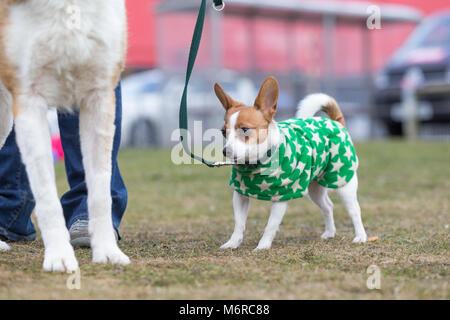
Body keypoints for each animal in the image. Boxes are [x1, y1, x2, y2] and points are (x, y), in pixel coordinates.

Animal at [0, 0, 130, 272]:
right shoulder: (29, 98)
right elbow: (46, 195)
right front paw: (59, 256)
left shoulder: (99, 95)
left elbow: (100, 189)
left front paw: (107, 252)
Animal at [216, 75, 368, 250]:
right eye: (223, 132)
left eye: (245, 129)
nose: (225, 151)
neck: (258, 164)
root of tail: (336, 123)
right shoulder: (240, 195)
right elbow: (239, 223)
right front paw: (233, 243)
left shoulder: (281, 197)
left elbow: (271, 225)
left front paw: (263, 246)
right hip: (314, 189)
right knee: (328, 206)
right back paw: (329, 232)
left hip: (343, 183)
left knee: (355, 210)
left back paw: (360, 236)